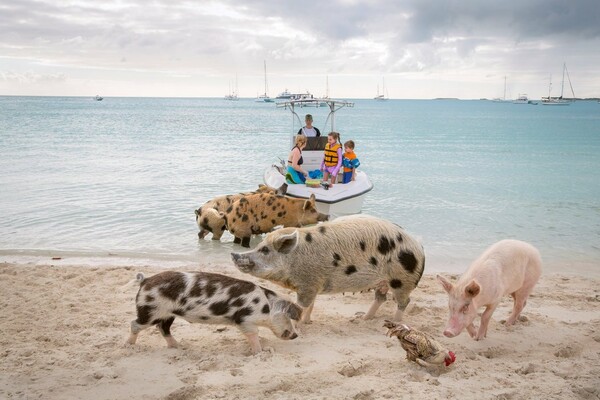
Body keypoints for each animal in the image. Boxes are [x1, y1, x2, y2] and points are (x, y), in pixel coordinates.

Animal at [128, 272, 302, 354]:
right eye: (289, 317)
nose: (296, 335)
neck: (264, 307)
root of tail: (145, 281)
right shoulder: (244, 319)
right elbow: (253, 334)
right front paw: (262, 351)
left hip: (168, 314)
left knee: (163, 328)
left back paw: (179, 346)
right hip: (150, 310)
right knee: (134, 323)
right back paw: (128, 345)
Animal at [231, 214, 426, 324]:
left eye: (264, 250)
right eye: (259, 246)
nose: (234, 254)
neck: (294, 260)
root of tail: (420, 247)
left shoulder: (308, 284)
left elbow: (302, 305)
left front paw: (300, 325)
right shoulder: (312, 284)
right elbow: (310, 306)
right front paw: (307, 322)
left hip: (402, 280)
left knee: (404, 301)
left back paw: (395, 322)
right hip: (383, 282)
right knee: (381, 298)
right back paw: (362, 319)